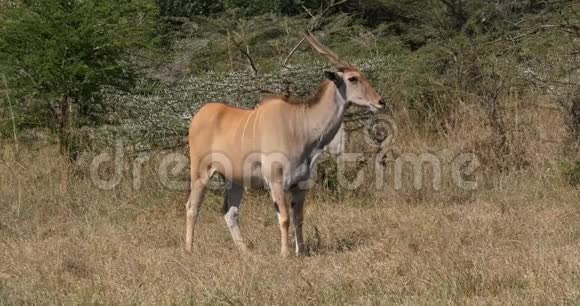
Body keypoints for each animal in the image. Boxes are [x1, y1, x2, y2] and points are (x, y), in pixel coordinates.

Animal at [186, 32, 386, 256]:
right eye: (353, 78)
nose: (380, 102)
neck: (300, 125)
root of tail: (198, 116)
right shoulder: (276, 181)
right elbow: (284, 218)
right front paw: (285, 253)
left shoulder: (300, 185)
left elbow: (299, 218)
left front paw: (302, 251)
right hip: (200, 173)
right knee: (192, 207)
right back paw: (189, 250)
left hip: (234, 180)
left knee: (230, 213)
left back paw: (246, 252)